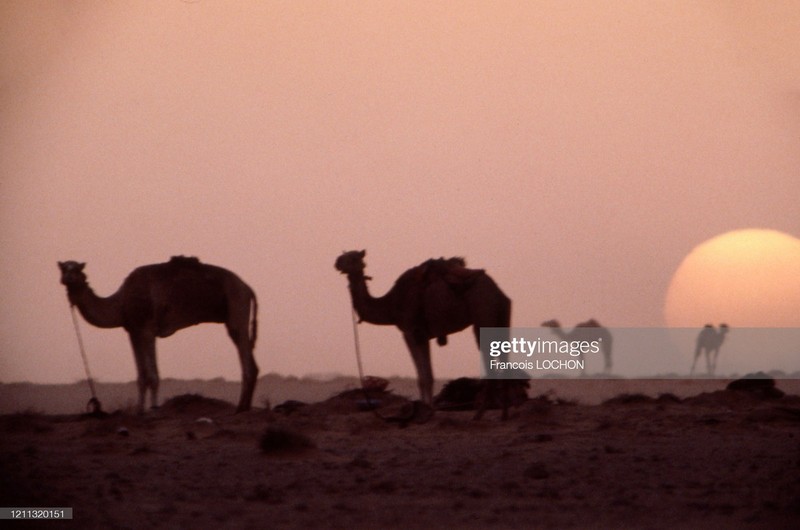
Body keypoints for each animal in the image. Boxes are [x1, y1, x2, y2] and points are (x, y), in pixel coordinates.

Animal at [59, 256, 260, 412]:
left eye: (76, 269)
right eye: (63, 268)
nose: (66, 278)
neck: (121, 302)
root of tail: (248, 288)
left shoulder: (148, 329)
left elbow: (152, 375)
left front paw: (154, 408)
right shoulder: (132, 331)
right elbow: (141, 376)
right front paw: (139, 410)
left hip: (236, 306)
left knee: (245, 356)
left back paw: (241, 407)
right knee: (252, 362)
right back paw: (245, 407)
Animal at [332, 250, 516, 418]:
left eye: (353, 257)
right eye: (343, 254)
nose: (337, 262)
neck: (391, 305)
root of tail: (497, 291)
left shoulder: (410, 331)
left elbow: (422, 376)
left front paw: (424, 409)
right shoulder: (423, 335)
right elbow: (428, 375)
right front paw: (428, 408)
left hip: (483, 314)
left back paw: (480, 413)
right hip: (501, 318)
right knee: (503, 358)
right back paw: (503, 413)